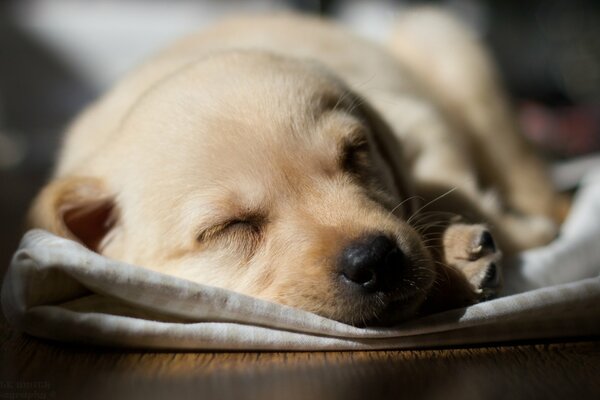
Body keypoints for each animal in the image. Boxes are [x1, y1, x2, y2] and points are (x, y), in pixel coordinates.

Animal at [28, 8, 564, 324]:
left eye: (356, 155)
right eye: (229, 227)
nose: (375, 259)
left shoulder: (417, 120)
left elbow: (444, 189)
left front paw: (458, 251)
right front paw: (453, 265)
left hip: (442, 41)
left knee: (524, 171)